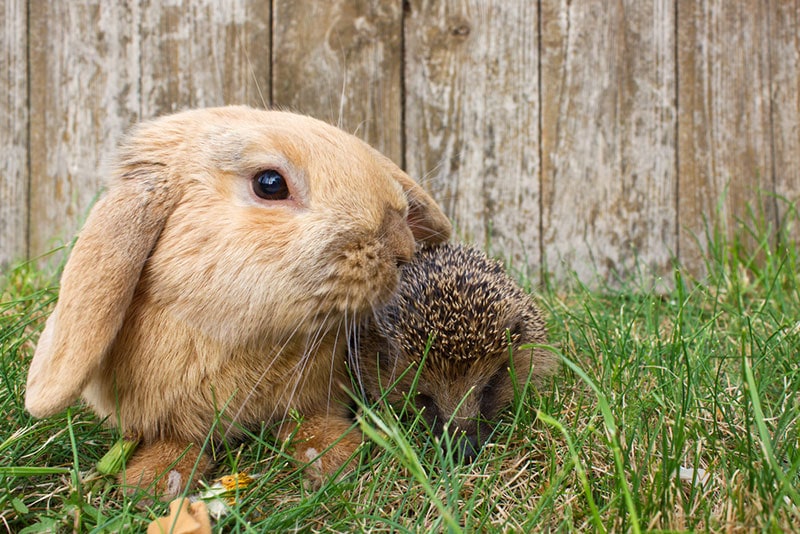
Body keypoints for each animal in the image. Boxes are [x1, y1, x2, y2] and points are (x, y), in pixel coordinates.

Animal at [25, 106, 452, 499]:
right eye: (270, 184)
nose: (402, 248)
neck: (245, 341)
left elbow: (312, 418)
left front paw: (334, 457)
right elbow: (176, 440)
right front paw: (156, 483)